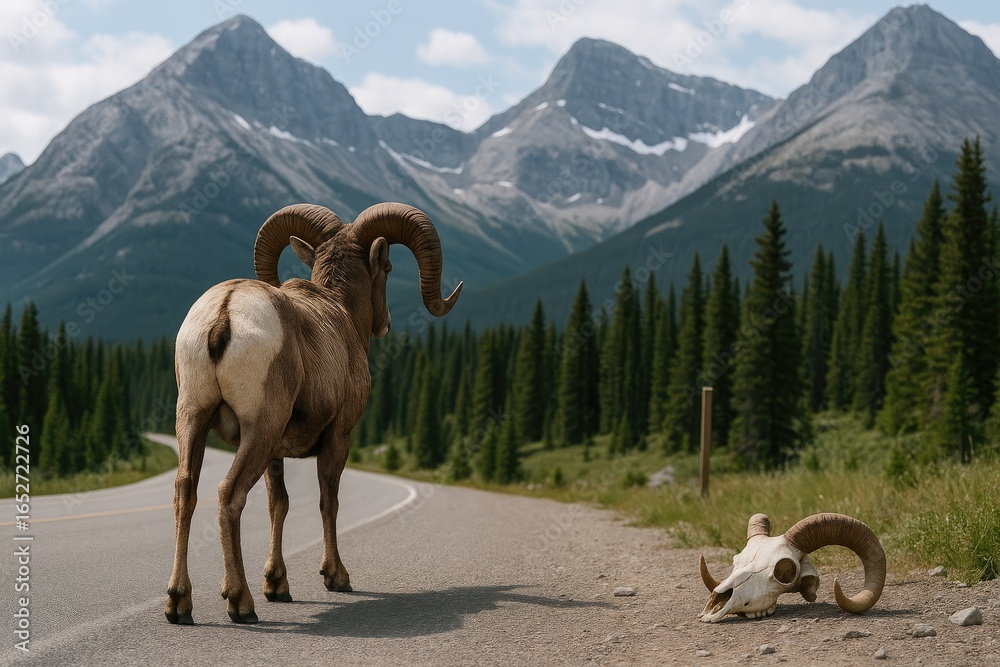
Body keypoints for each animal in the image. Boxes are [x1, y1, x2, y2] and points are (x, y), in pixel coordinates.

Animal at [165, 202, 462, 624]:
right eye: (387, 267)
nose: (386, 324)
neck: (342, 316)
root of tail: (225, 313)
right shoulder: (339, 437)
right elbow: (328, 501)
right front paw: (336, 577)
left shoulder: (276, 453)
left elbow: (280, 504)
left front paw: (278, 586)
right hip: (258, 429)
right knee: (229, 494)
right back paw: (241, 604)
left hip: (193, 419)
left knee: (185, 491)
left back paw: (178, 603)